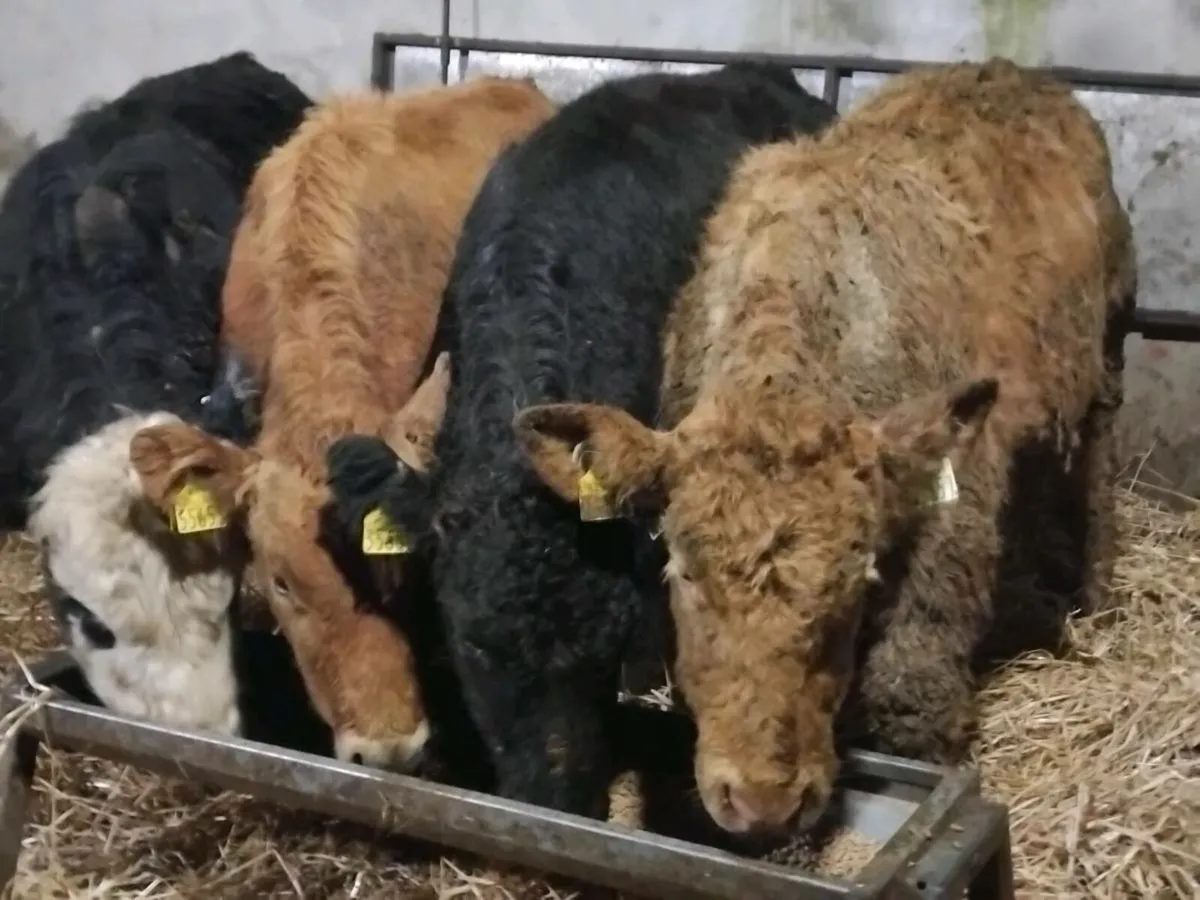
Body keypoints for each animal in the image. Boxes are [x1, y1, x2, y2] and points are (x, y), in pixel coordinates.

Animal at [512, 58, 1135, 836]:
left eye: (854, 585)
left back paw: (1097, 595)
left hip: (1109, 345)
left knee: (1099, 467)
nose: (764, 801)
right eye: (684, 574)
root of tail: (1010, 72)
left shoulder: (954, 500)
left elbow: (910, 676)